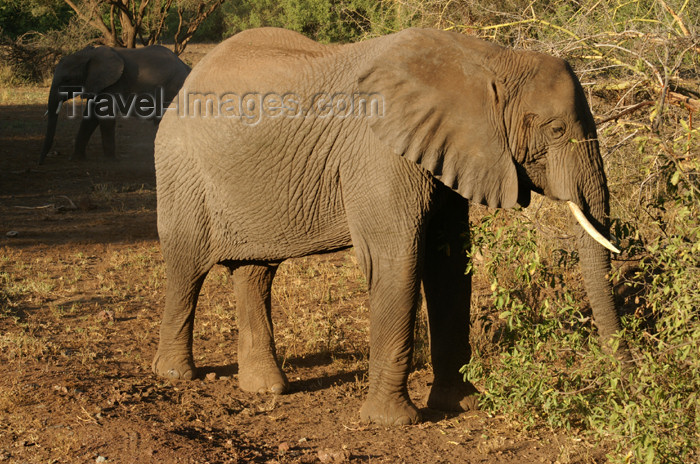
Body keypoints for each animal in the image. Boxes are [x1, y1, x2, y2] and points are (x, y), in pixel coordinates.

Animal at [37, 45, 191, 165]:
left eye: (67, 80)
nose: (41, 163)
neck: (90, 54)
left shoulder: (113, 83)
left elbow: (104, 116)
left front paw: (110, 161)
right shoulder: (96, 83)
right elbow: (89, 118)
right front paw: (76, 159)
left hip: (173, 89)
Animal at [150, 28, 628, 428]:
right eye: (557, 129)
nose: (623, 374)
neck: (486, 60)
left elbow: (449, 263)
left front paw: (459, 404)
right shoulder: (379, 153)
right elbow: (396, 260)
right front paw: (393, 422)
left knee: (256, 272)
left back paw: (266, 388)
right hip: (181, 170)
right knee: (186, 268)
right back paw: (175, 374)